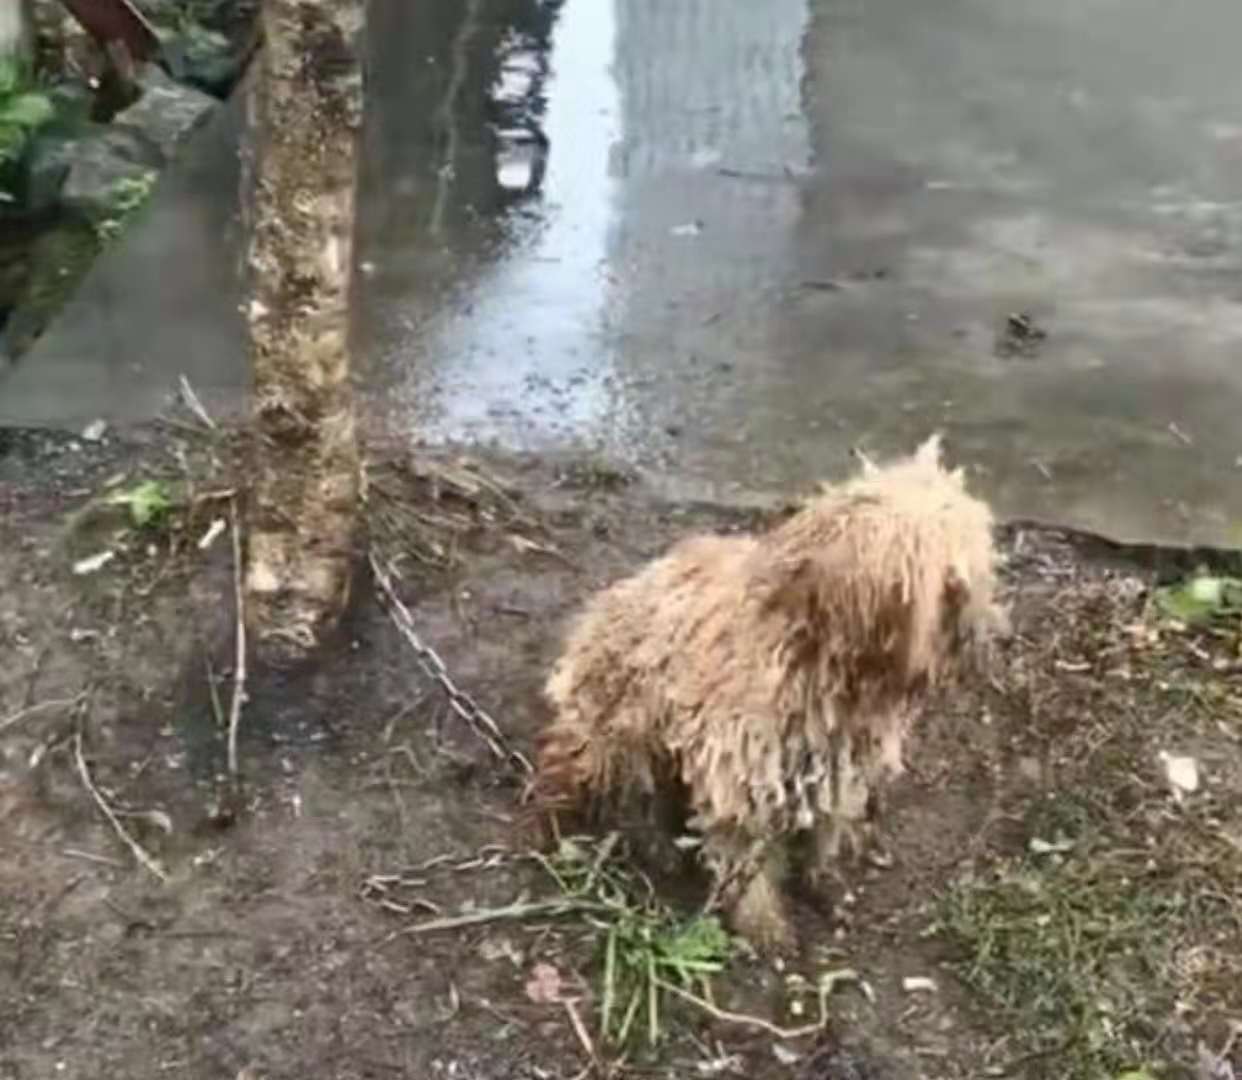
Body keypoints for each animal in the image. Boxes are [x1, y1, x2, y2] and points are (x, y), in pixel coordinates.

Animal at [529, 434, 1003, 953]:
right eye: (949, 582)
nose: (987, 634)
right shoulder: (740, 769)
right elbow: (746, 855)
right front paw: (764, 924)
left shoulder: (837, 764)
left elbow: (825, 827)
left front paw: (822, 879)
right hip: (619, 724)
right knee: (613, 788)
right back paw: (646, 837)